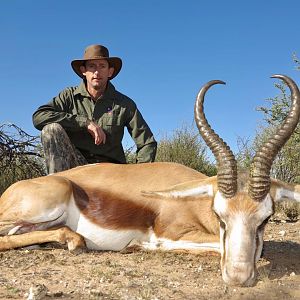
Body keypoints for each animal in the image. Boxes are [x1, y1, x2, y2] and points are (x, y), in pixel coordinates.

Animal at [0, 75, 300, 286]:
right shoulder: (173, 231)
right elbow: (214, 245)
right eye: (220, 215)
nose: (239, 278)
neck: (192, 201)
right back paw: (73, 242)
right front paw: (139, 245)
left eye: (266, 218)